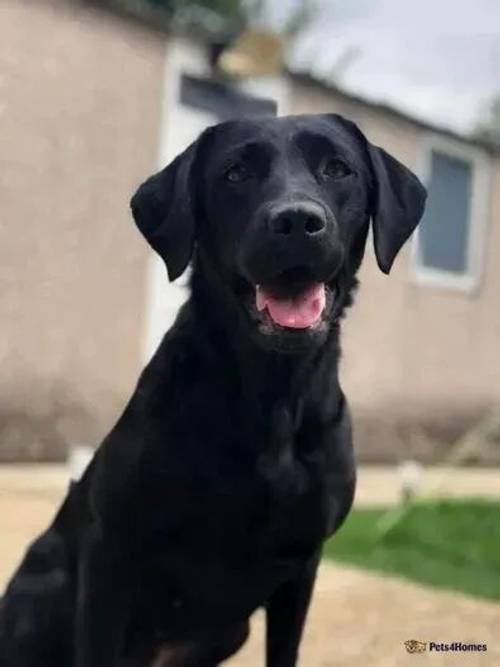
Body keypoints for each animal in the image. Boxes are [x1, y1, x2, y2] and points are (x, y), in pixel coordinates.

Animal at [0, 112, 426, 664]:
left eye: (338, 169)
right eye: (235, 173)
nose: (296, 221)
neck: (270, 395)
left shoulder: (302, 566)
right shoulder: (109, 554)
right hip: (43, 594)